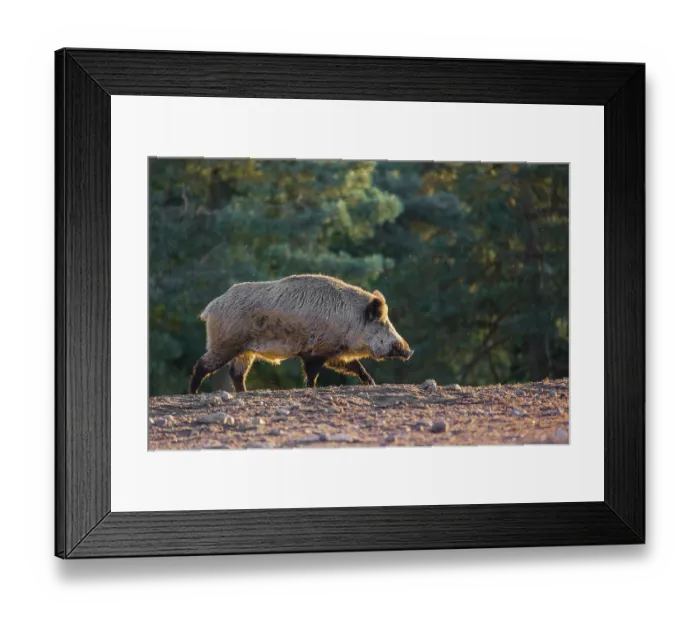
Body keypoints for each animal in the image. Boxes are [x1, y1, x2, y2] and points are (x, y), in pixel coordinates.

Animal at [189, 274, 413, 393]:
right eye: (382, 322)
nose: (409, 351)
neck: (350, 318)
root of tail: (211, 307)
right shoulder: (317, 350)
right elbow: (313, 374)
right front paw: (311, 389)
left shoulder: (332, 352)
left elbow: (355, 366)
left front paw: (371, 383)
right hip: (225, 344)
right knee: (202, 365)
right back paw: (193, 393)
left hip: (245, 351)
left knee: (236, 373)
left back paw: (244, 393)